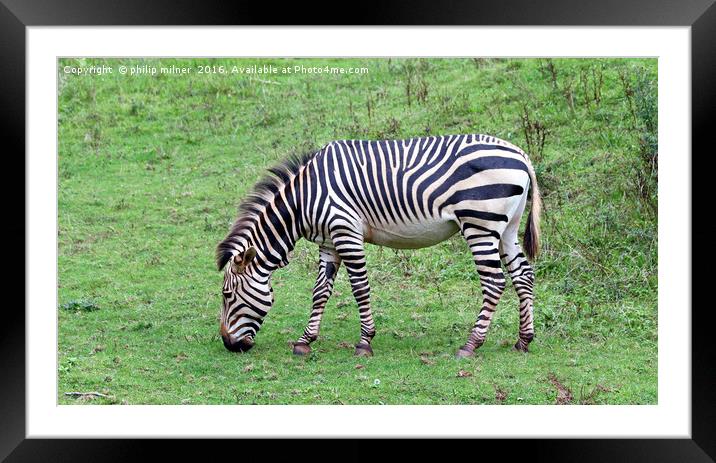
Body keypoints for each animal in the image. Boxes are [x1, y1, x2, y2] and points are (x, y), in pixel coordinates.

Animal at [215, 134, 540, 358]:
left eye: (227, 295)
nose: (229, 345)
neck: (304, 200)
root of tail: (522, 155)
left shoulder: (346, 231)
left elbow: (360, 288)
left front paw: (364, 343)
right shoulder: (329, 242)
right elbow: (320, 291)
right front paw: (304, 342)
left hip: (480, 223)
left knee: (494, 282)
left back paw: (471, 344)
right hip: (507, 227)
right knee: (523, 276)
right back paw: (523, 340)